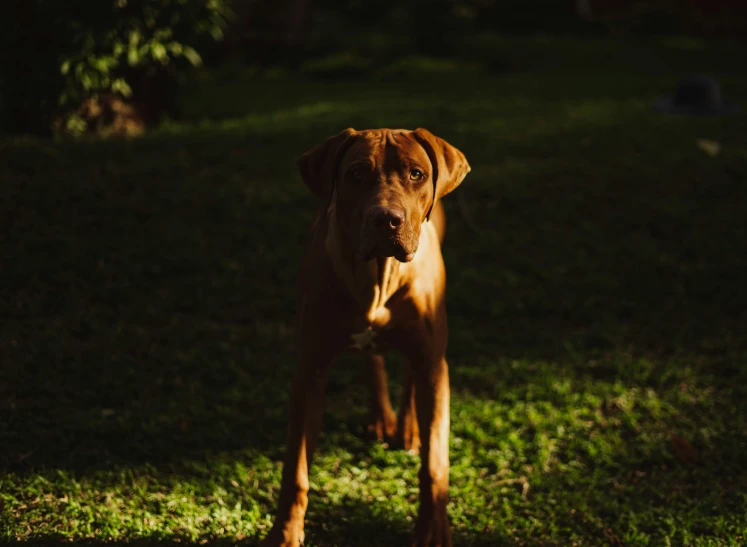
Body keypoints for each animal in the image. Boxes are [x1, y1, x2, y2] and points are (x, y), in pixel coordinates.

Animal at [262, 127, 470, 547]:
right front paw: (286, 532)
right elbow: (296, 469)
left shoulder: (433, 362)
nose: (386, 220)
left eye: (416, 174)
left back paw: (407, 427)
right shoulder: (309, 372)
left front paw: (433, 528)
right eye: (356, 173)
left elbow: (435, 463)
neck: (380, 274)